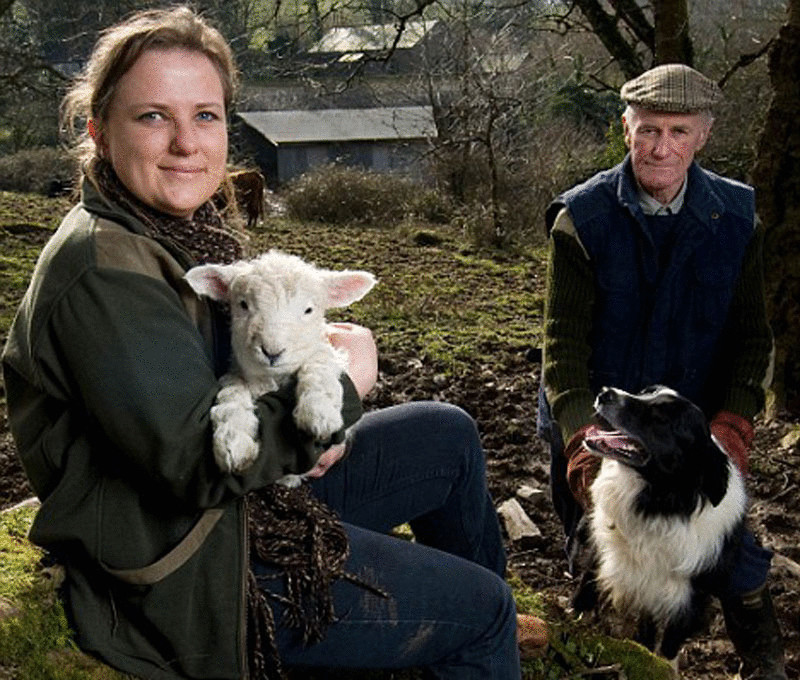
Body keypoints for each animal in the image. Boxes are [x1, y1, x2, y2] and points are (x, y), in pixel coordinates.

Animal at [186, 247, 376, 480]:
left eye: (308, 310)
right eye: (243, 304)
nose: (272, 352)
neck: (273, 377)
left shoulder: (324, 349)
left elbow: (319, 362)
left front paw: (318, 410)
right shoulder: (235, 372)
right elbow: (232, 391)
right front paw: (233, 440)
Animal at [572, 386, 748, 660]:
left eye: (661, 419)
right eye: (646, 392)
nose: (605, 392)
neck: (659, 505)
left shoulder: (686, 600)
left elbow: (667, 648)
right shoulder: (607, 555)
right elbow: (586, 586)